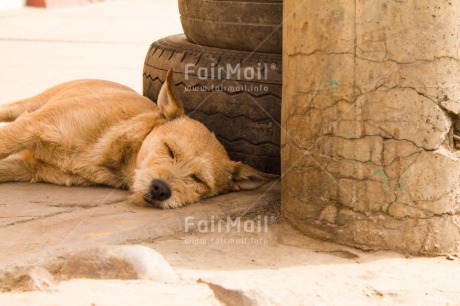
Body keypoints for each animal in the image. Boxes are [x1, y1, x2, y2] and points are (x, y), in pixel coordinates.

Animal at [0, 70, 274, 208]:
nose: (161, 189)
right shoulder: (31, 126)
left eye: (198, 179)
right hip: (27, 107)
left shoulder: (26, 166)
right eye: (170, 150)